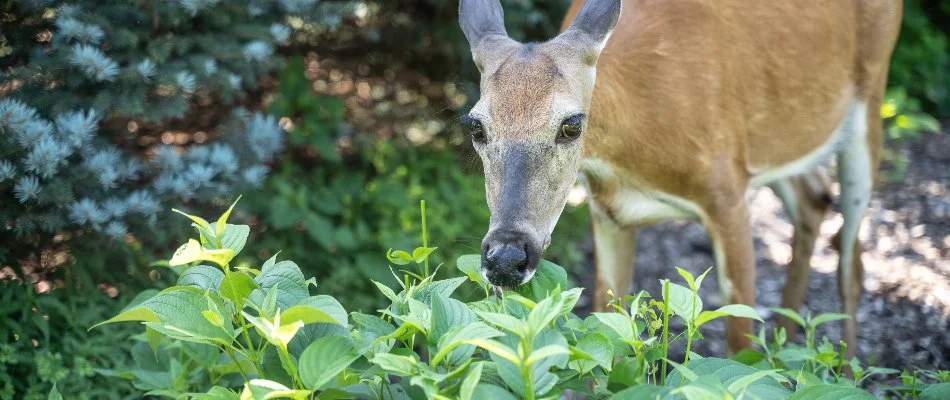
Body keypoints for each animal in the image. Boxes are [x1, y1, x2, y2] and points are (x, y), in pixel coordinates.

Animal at [459, 0, 902, 357]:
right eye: (476, 127)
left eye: (572, 125)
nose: (506, 257)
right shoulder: (608, 213)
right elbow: (608, 328)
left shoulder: (727, 193)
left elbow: (739, 342)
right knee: (815, 199)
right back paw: (786, 345)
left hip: (870, 99)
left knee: (852, 263)